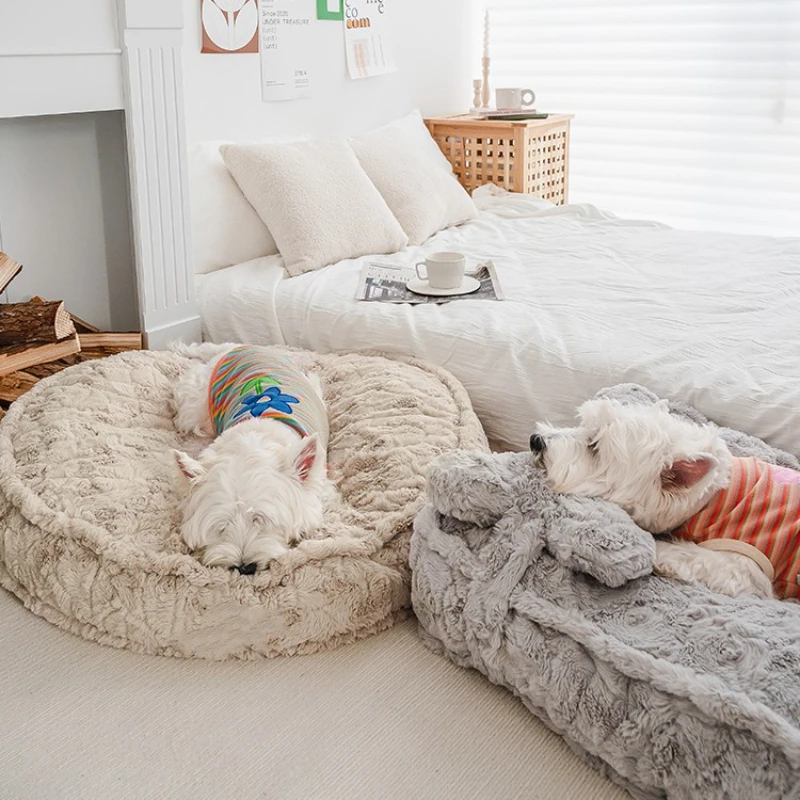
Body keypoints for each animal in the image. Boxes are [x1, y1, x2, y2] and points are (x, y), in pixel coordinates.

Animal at [412, 384, 800, 796]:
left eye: (595, 447)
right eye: (584, 426)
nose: (536, 440)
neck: (710, 497)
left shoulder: (745, 568)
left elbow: (691, 556)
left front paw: (659, 548)